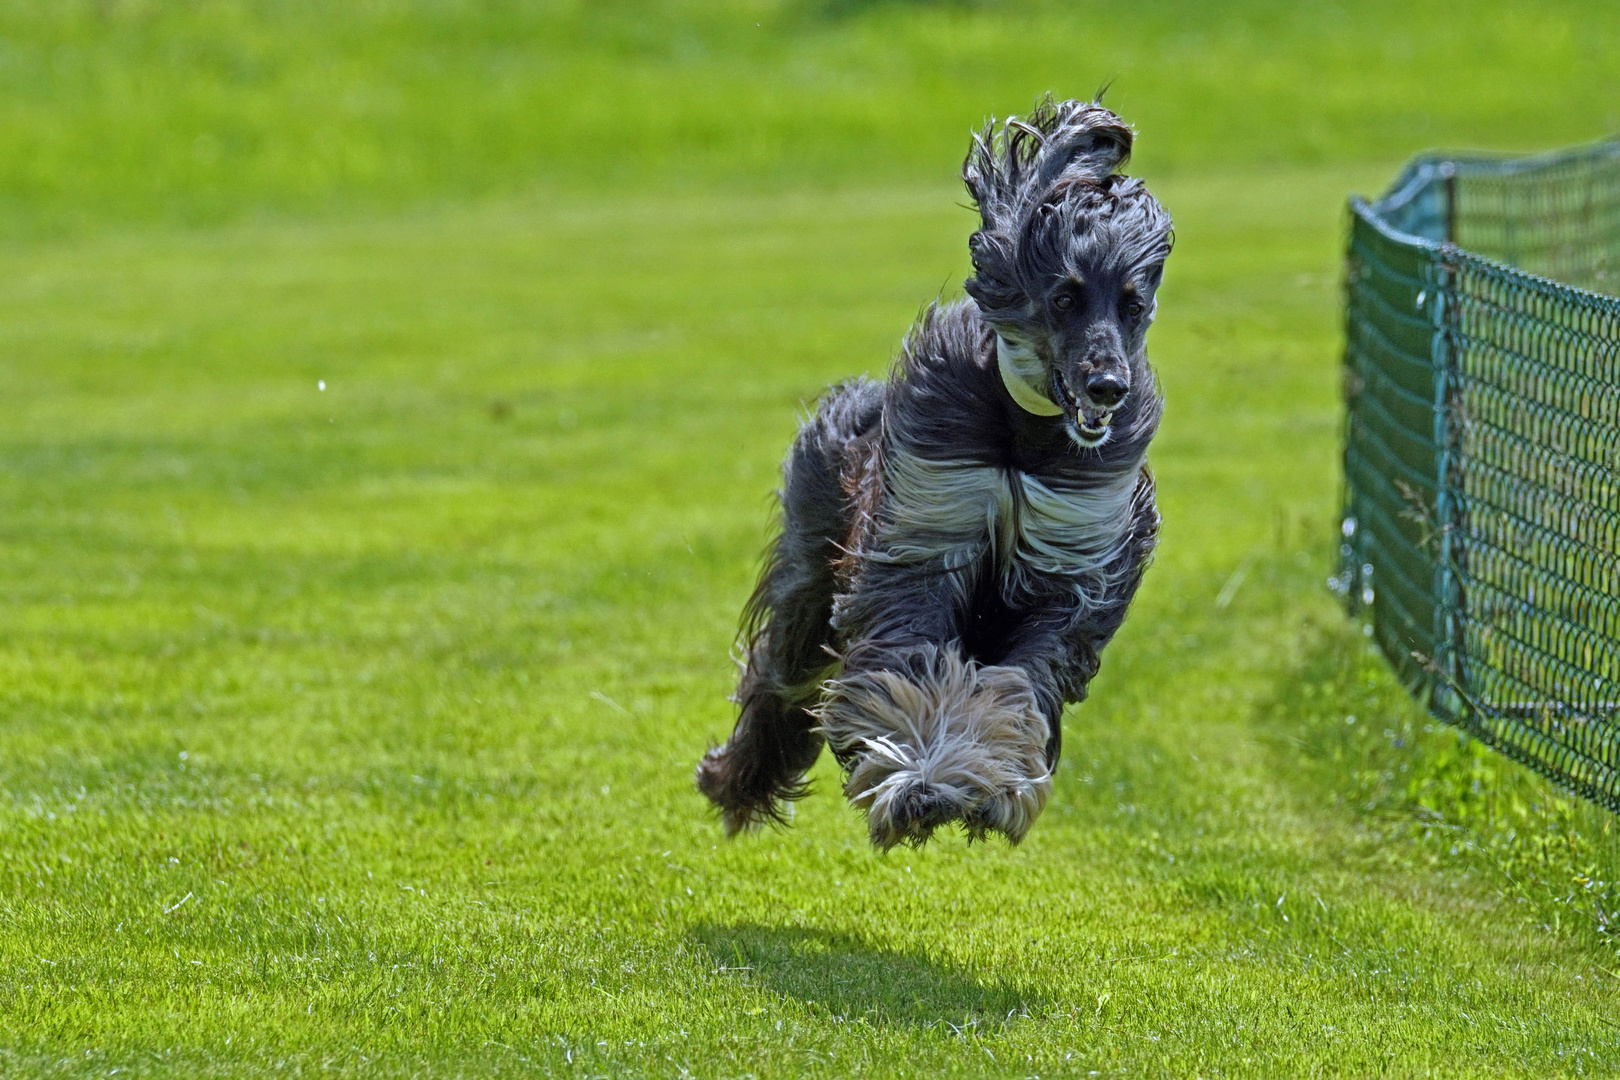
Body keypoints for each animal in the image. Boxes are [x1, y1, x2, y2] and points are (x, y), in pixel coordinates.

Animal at [696, 97, 1179, 848]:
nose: (1107, 387)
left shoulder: (1067, 572)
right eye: (1066, 297)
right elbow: (911, 659)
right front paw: (920, 783)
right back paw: (735, 780)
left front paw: (977, 784)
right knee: (783, 678)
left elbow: (1017, 683)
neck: (1023, 432)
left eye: (1131, 301)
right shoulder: (926, 530)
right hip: (812, 569)